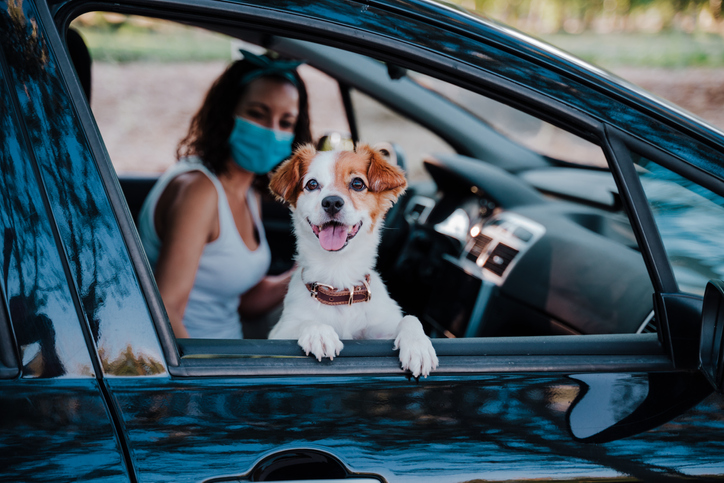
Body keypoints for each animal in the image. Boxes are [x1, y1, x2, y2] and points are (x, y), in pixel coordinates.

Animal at [266, 144, 436, 378]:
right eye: (312, 184)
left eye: (357, 183)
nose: (332, 202)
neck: (339, 279)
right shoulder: (278, 333)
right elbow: (305, 322)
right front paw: (319, 332)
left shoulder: (381, 330)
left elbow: (410, 319)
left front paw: (418, 345)